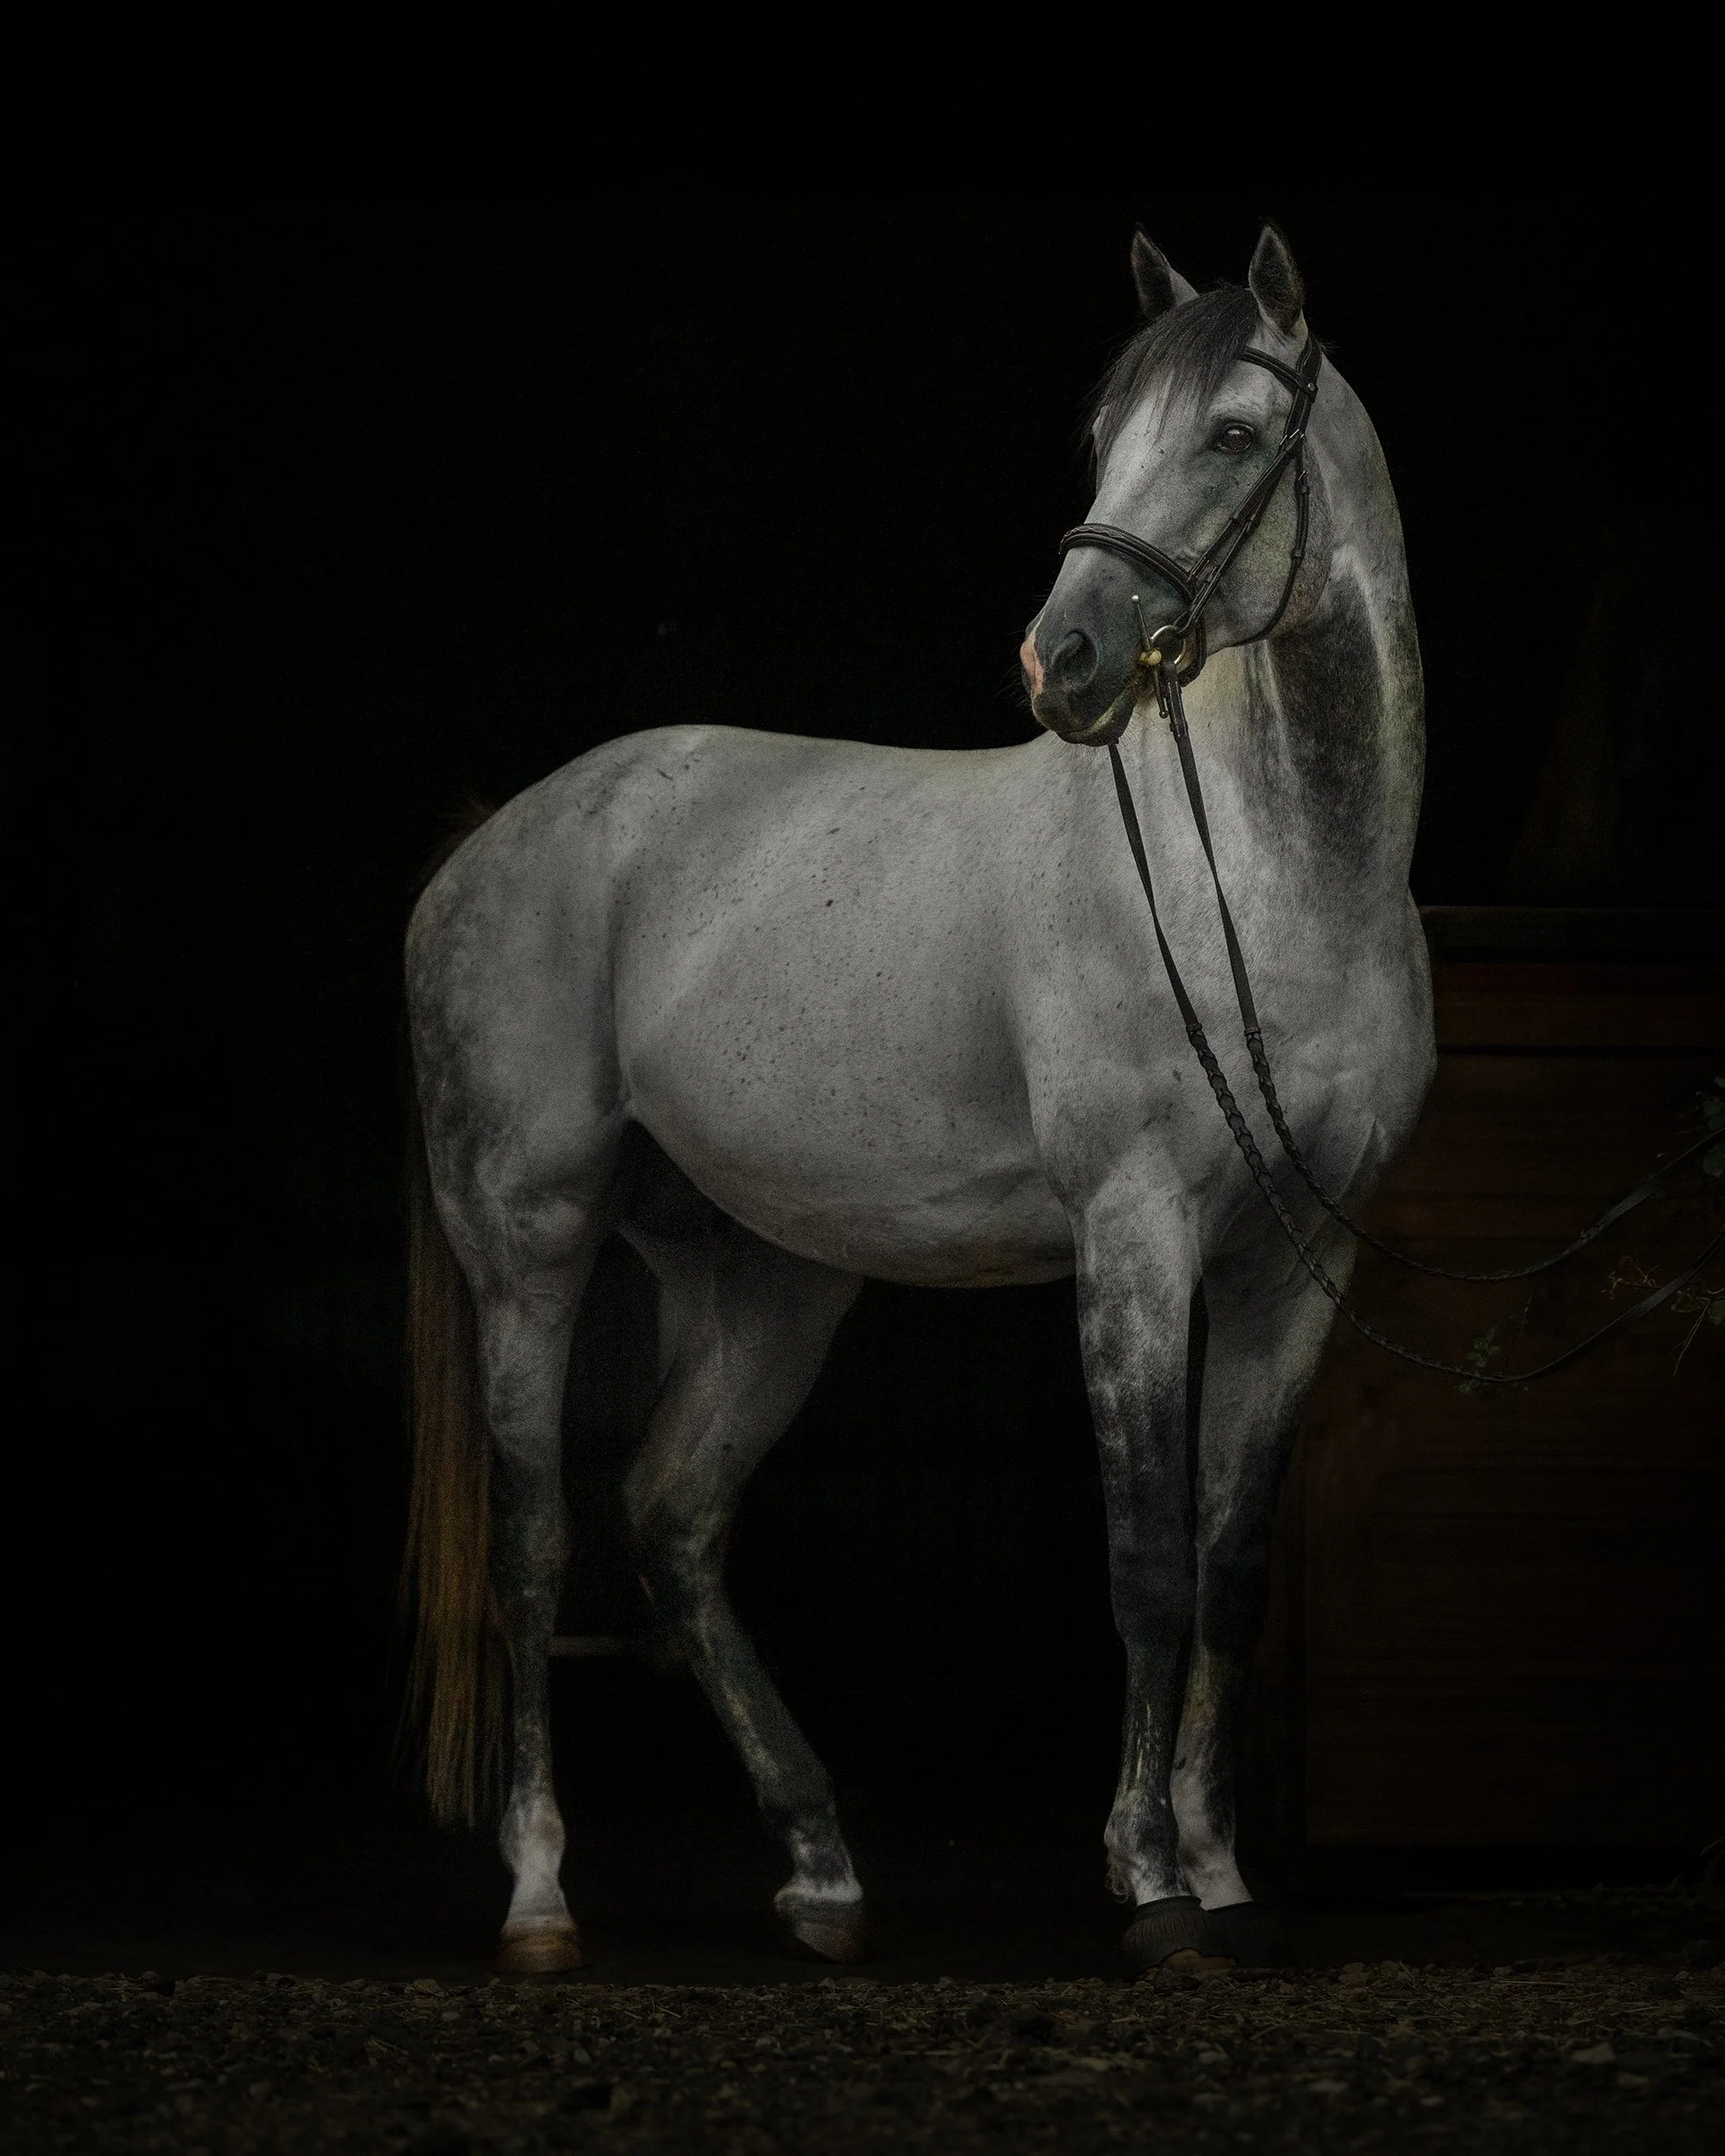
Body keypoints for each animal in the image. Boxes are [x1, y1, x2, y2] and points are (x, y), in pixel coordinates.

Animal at [403, 221, 1432, 1974]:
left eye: (1232, 435)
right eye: (1104, 439)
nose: (1059, 661)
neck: (1268, 879)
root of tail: (497, 840)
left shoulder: (1297, 1259)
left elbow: (1230, 1570)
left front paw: (1222, 1876)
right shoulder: (1135, 1238)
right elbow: (1148, 1566)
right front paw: (1152, 1889)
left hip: (766, 1279)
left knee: (673, 1524)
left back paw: (823, 1869)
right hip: (528, 1248)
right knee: (539, 1549)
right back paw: (542, 1899)